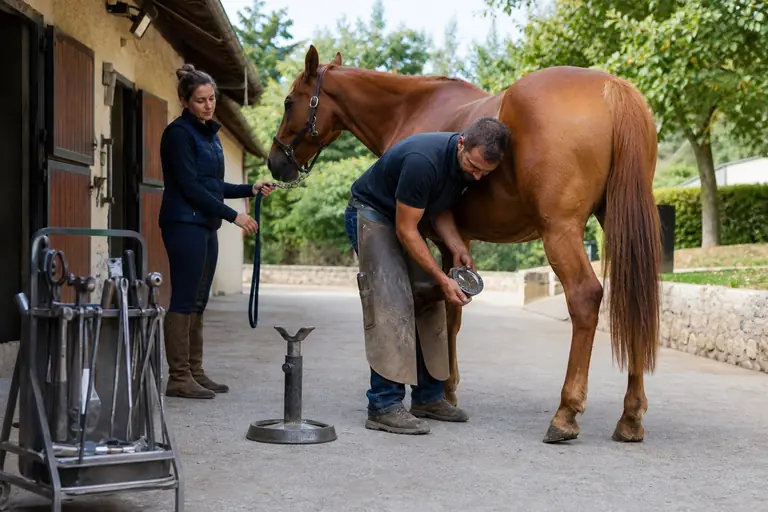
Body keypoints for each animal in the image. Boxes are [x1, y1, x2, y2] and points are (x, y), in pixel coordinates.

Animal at [266, 45, 662, 444]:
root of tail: (611, 89)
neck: (410, 108)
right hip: (618, 222)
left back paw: (566, 414)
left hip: (560, 232)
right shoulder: (457, 240)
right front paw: (444, 392)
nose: (275, 162)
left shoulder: (428, 233)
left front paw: (441, 389)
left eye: (288, 102)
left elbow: (436, 310)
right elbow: (451, 313)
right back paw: (631, 417)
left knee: (585, 298)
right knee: (634, 301)